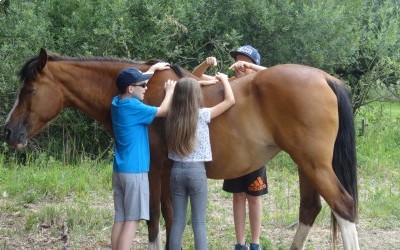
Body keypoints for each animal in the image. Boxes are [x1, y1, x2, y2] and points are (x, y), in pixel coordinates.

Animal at [3, 48, 360, 248]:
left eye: (30, 89)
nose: (8, 131)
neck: (143, 91)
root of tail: (325, 78)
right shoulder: (167, 171)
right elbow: (169, 217)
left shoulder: (155, 170)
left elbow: (154, 219)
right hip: (306, 166)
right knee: (310, 209)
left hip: (314, 165)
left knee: (344, 207)